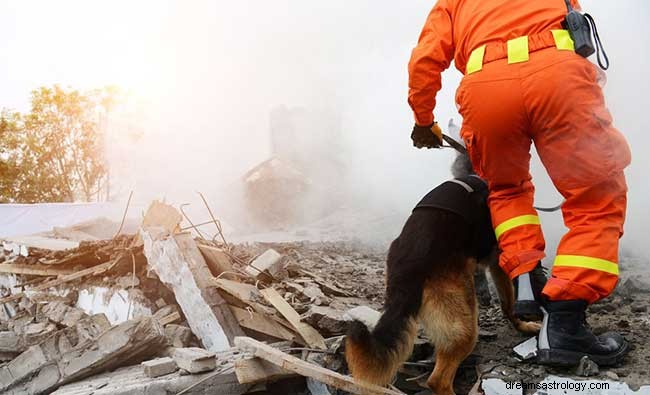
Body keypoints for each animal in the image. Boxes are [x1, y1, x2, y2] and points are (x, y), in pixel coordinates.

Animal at [344, 153, 536, 395]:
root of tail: (408, 266)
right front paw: (523, 325)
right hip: (463, 324)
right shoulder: (498, 261)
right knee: (438, 380)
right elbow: (509, 303)